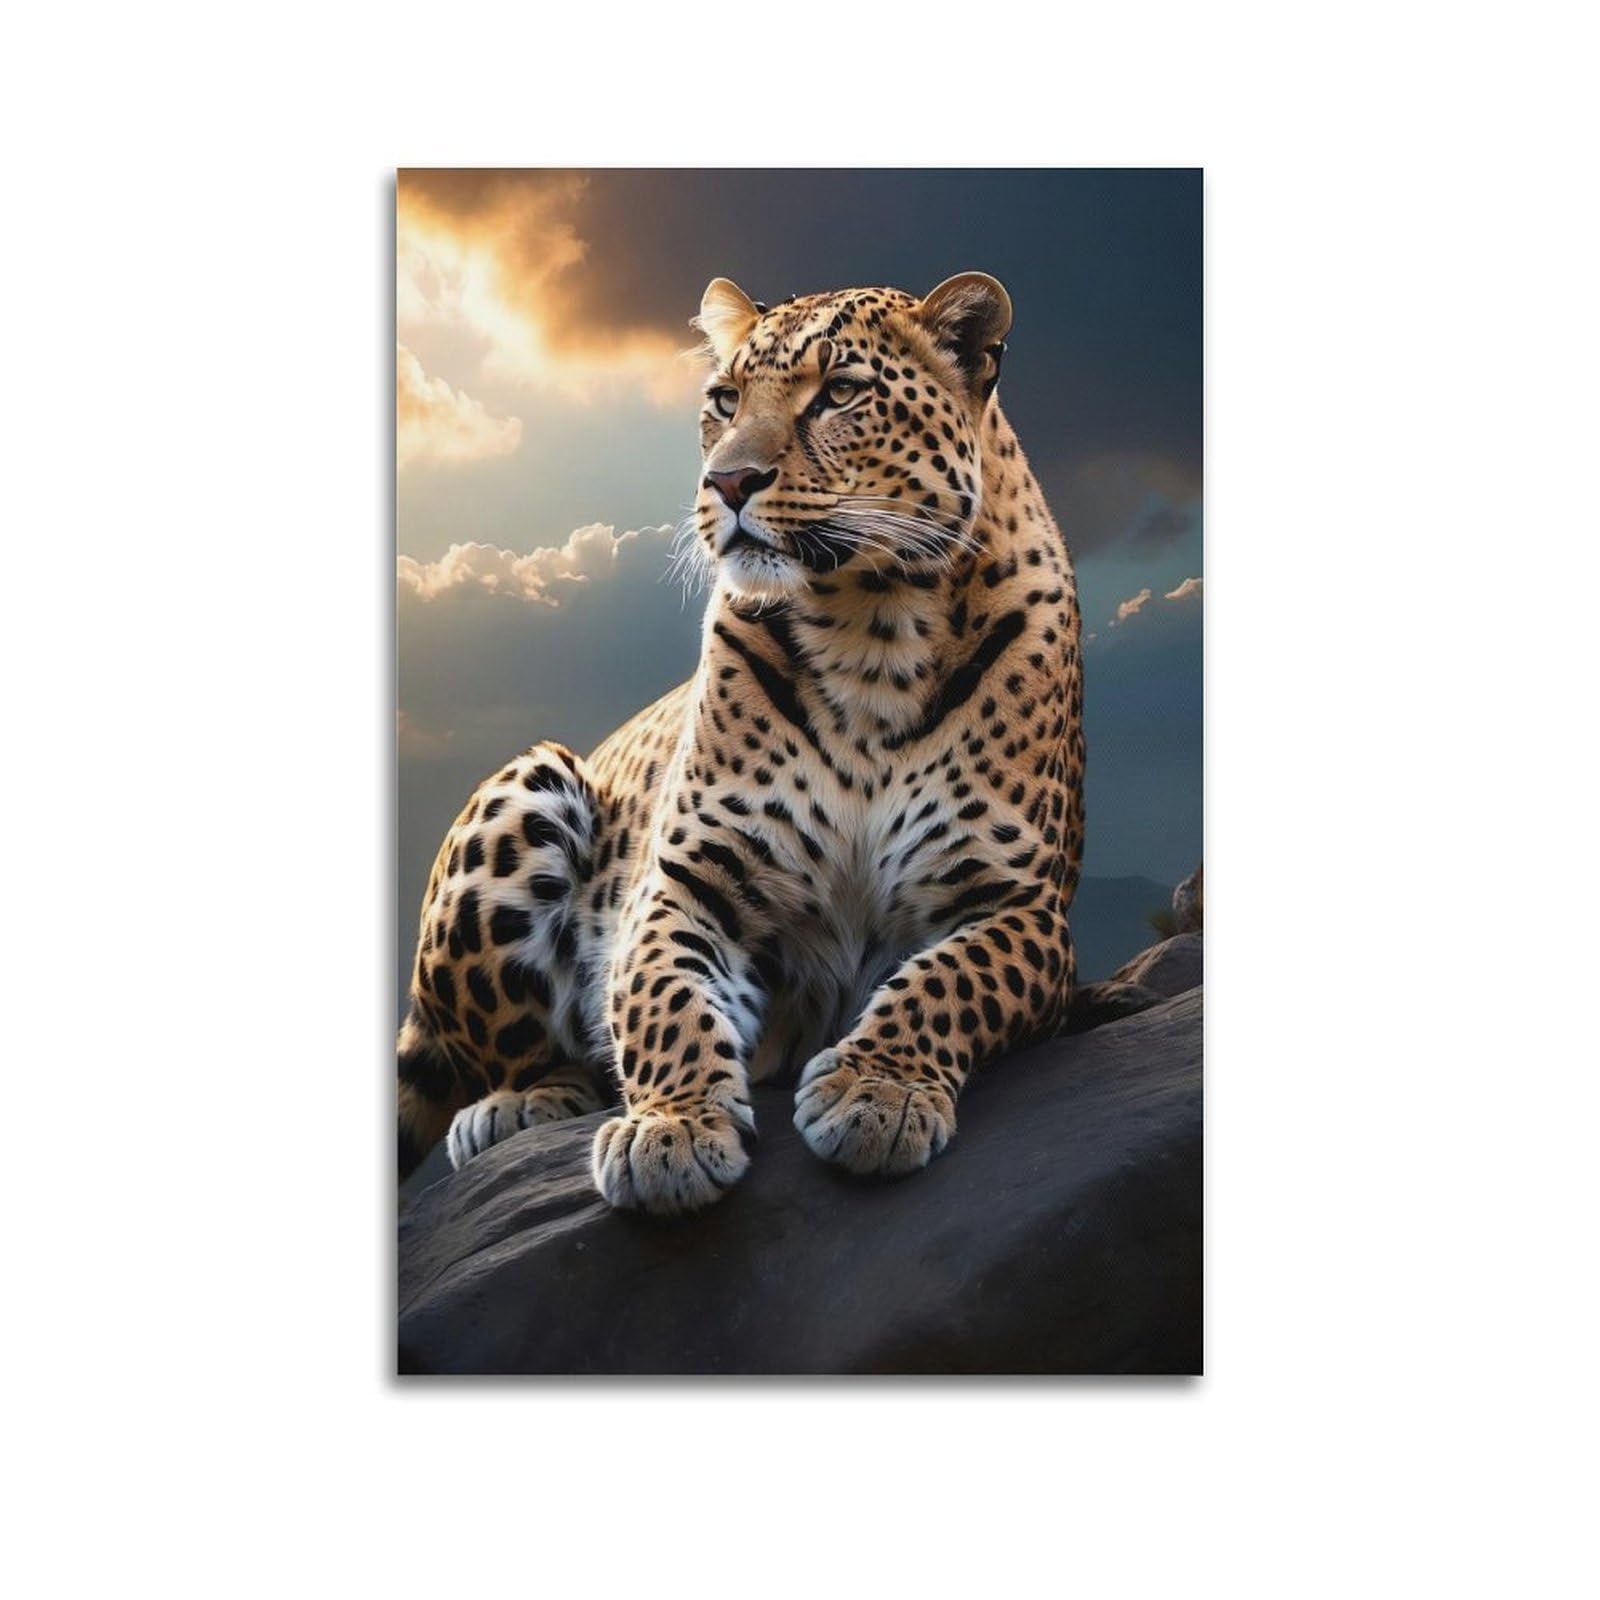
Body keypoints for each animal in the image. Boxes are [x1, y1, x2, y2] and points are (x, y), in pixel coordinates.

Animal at [397, 272, 1086, 1215]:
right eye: (724, 401)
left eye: (839, 393)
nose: (727, 481)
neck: (871, 631)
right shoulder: (689, 881)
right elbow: (667, 1000)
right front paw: (673, 1129)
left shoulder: (1020, 905)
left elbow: (947, 983)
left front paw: (878, 1091)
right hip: (530, 781)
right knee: (513, 1054)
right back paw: (520, 1105)